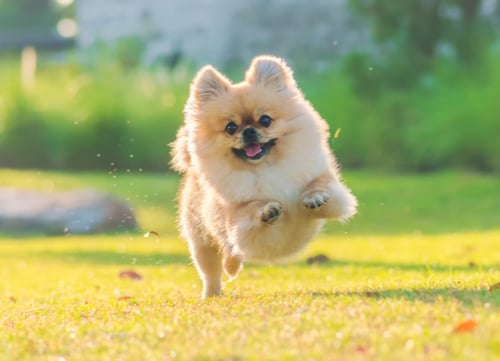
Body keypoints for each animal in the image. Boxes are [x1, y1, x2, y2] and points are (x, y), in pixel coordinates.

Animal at [171, 55, 356, 298]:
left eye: (265, 120)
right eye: (230, 127)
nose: (249, 131)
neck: (265, 168)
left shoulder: (329, 189)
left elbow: (320, 186)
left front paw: (314, 197)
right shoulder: (238, 222)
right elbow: (250, 209)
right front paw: (267, 210)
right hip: (201, 241)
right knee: (213, 269)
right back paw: (212, 294)